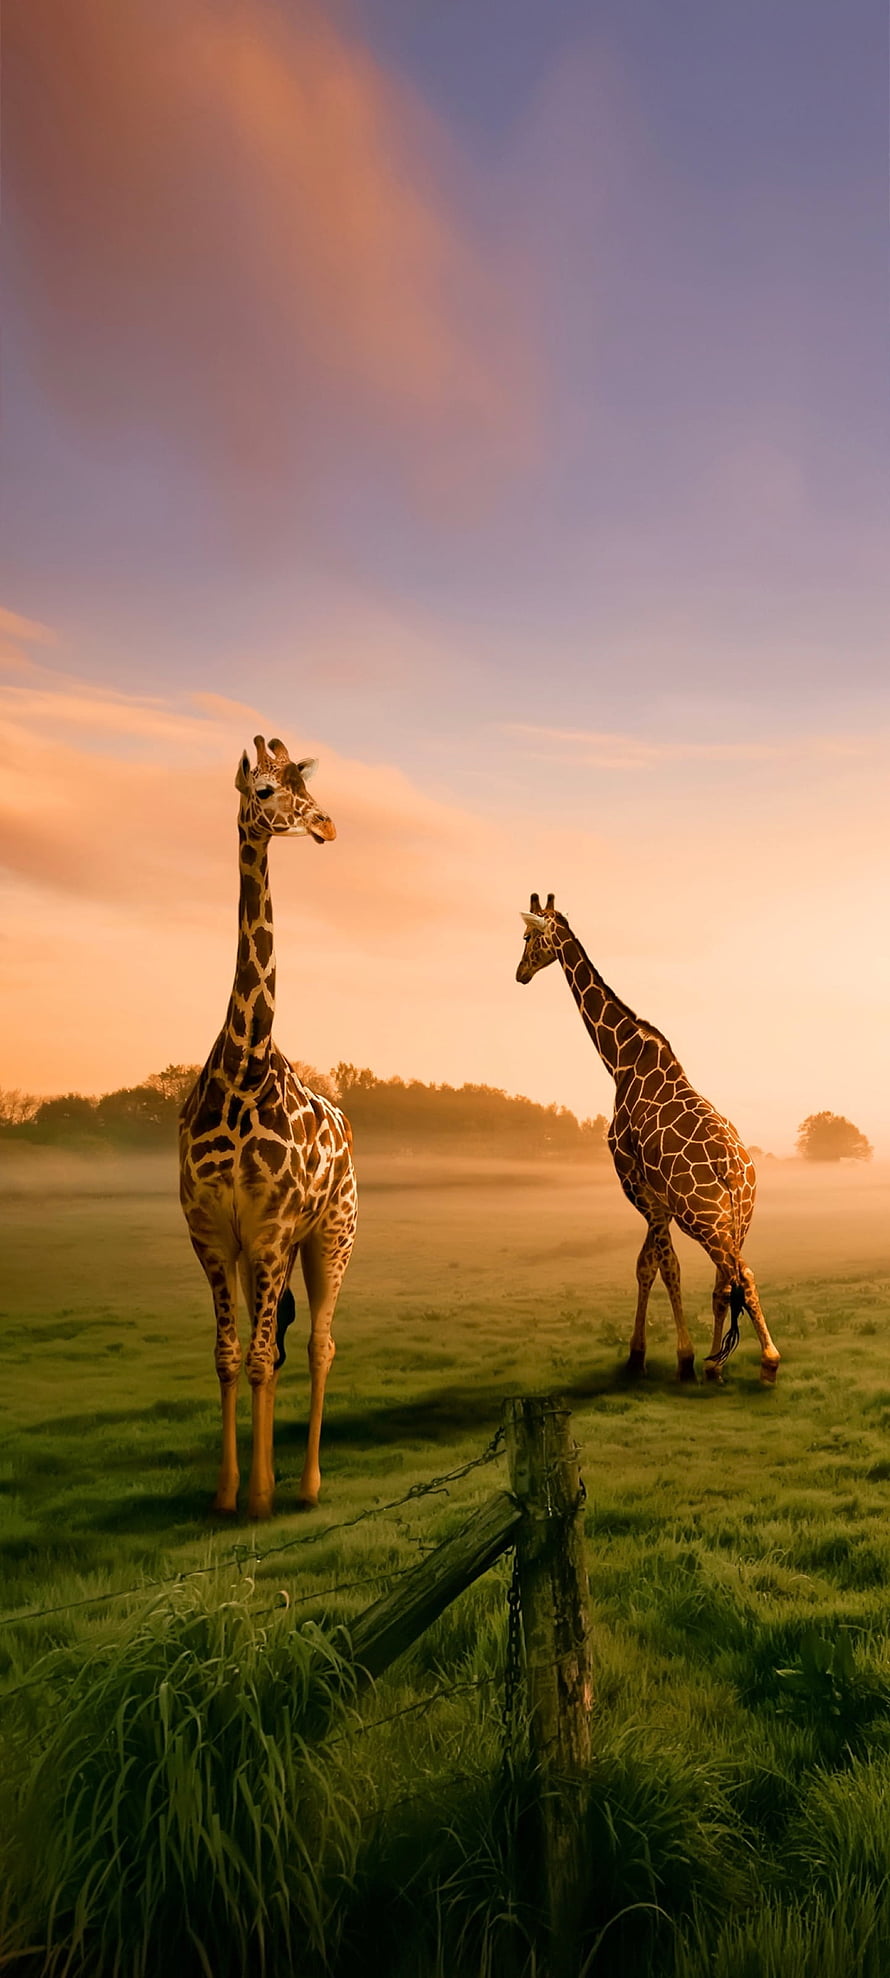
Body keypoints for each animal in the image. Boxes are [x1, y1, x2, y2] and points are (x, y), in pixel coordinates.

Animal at [516, 895, 780, 1385]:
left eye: (526, 937)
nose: (520, 973)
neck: (619, 1059)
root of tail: (735, 1171)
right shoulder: (657, 1199)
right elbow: (649, 1264)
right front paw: (652, 1355)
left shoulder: (638, 1186)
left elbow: (663, 1265)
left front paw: (676, 1358)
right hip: (740, 1217)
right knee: (727, 1279)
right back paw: (718, 1365)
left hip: (705, 1217)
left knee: (742, 1274)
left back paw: (767, 1363)